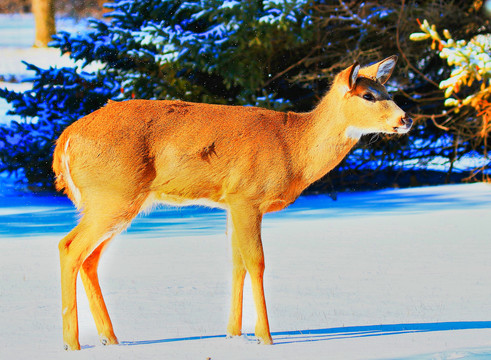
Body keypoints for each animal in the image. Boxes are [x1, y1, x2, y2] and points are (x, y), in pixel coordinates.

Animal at [52, 54, 412, 350]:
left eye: (388, 90)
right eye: (368, 95)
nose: (406, 119)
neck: (294, 149)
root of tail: (64, 141)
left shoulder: (230, 202)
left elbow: (236, 262)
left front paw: (234, 334)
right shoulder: (246, 196)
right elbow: (256, 261)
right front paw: (265, 337)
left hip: (115, 201)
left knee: (89, 258)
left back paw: (110, 339)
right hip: (112, 194)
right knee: (69, 246)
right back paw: (72, 343)